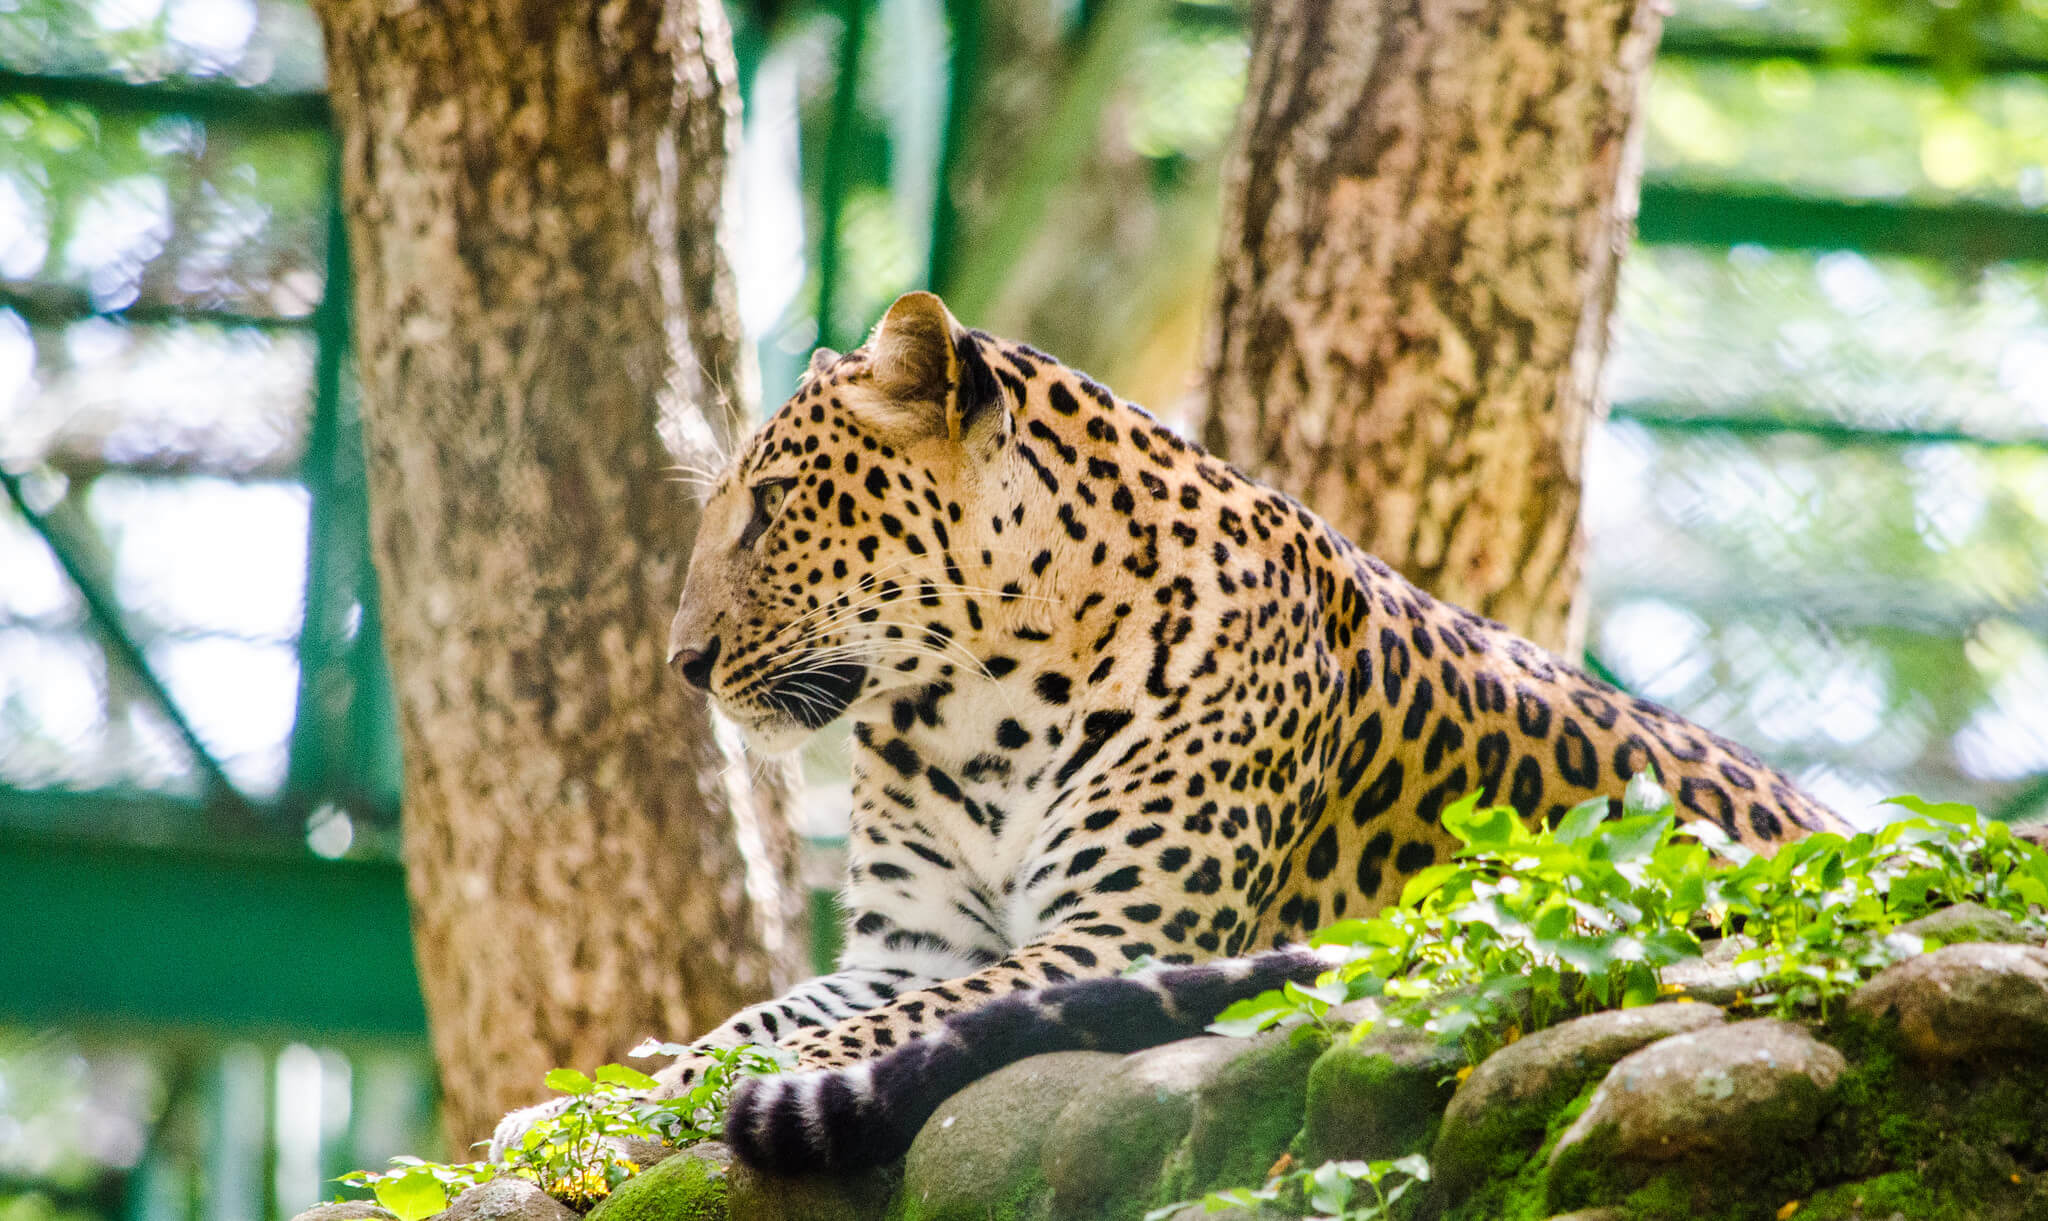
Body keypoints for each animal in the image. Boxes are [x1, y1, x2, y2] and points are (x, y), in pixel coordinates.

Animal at [491, 288, 1843, 1171]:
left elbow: (841, 1037)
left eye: (772, 505)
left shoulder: (1115, 936)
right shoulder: (910, 944)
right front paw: (561, 1113)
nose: (683, 665)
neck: (968, 705)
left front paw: (648, 1101)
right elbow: (760, 1020)